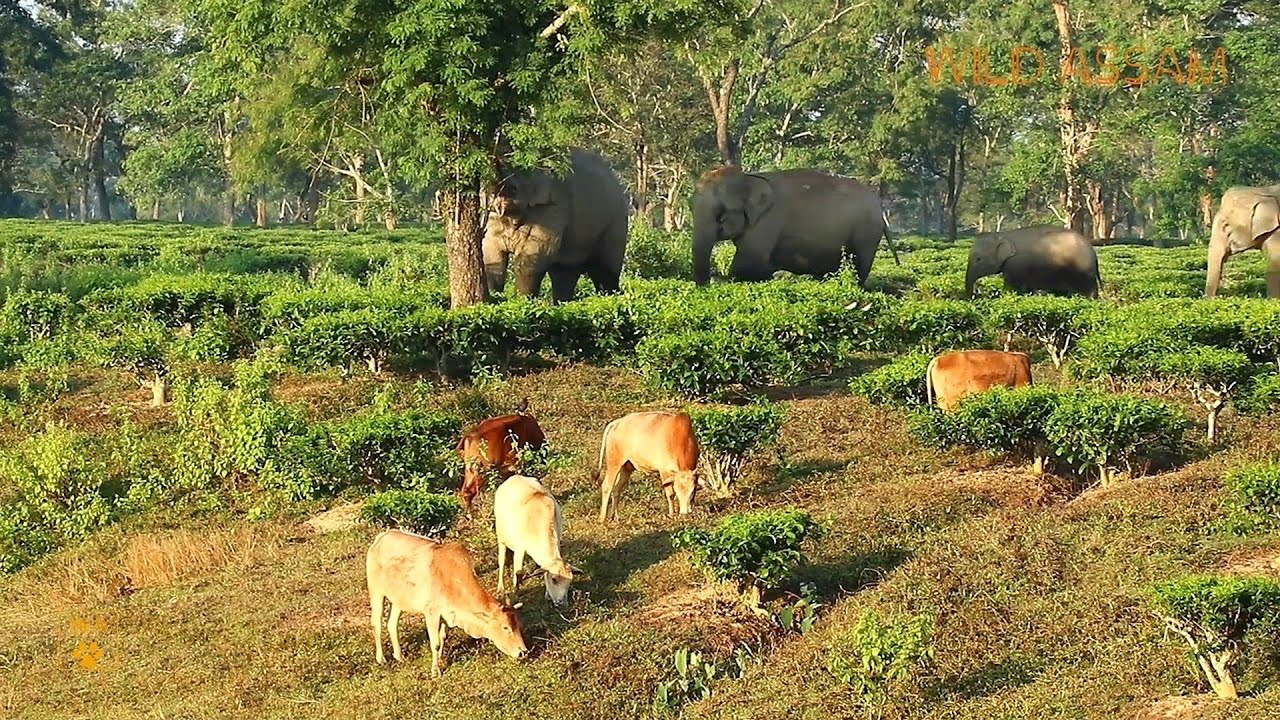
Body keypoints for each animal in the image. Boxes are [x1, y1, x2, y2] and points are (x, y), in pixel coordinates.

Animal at [483, 148, 630, 302]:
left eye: (514, 188)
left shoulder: (554, 204)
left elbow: (535, 252)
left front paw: (521, 301)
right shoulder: (492, 214)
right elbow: (490, 252)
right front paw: (494, 297)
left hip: (616, 221)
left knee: (604, 270)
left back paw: (611, 298)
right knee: (565, 271)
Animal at [691, 165, 899, 287]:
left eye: (721, 214)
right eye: (690, 207)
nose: (706, 284)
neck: (749, 178)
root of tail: (878, 205)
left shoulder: (769, 220)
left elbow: (748, 262)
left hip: (867, 233)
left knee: (859, 264)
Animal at [965, 225, 1100, 298]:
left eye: (978, 259)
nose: (974, 296)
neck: (1002, 235)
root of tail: (1093, 252)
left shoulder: (1015, 263)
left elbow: (1012, 285)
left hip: (1083, 270)